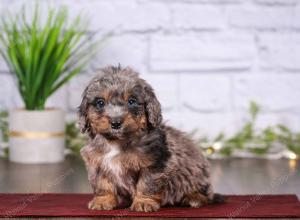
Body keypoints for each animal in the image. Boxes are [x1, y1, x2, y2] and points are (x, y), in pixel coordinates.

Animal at [78, 65, 224, 211]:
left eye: (131, 101)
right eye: (100, 103)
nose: (116, 123)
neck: (117, 142)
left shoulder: (154, 163)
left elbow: (147, 183)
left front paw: (144, 202)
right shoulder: (97, 164)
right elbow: (102, 184)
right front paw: (103, 200)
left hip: (198, 174)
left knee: (206, 193)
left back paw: (194, 198)